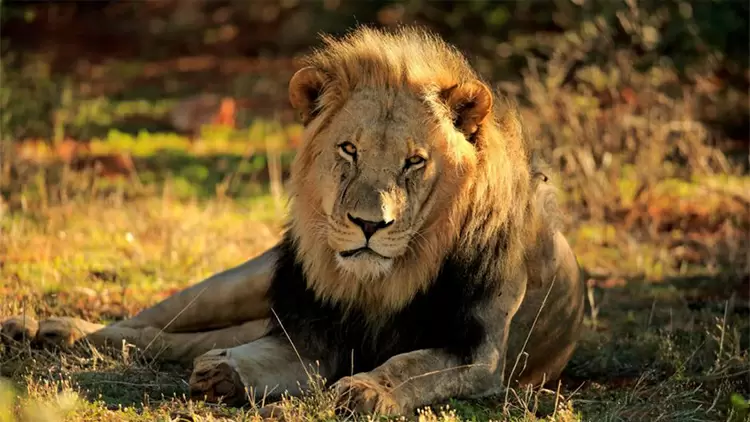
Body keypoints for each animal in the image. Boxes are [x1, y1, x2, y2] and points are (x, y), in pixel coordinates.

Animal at [1, 26, 585, 417]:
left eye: (414, 162)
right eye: (349, 149)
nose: (368, 224)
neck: (383, 281)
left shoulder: (478, 353)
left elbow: (415, 365)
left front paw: (368, 389)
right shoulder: (307, 333)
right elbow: (262, 354)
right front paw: (225, 374)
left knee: (171, 340)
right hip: (241, 281)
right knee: (154, 324)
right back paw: (45, 329)